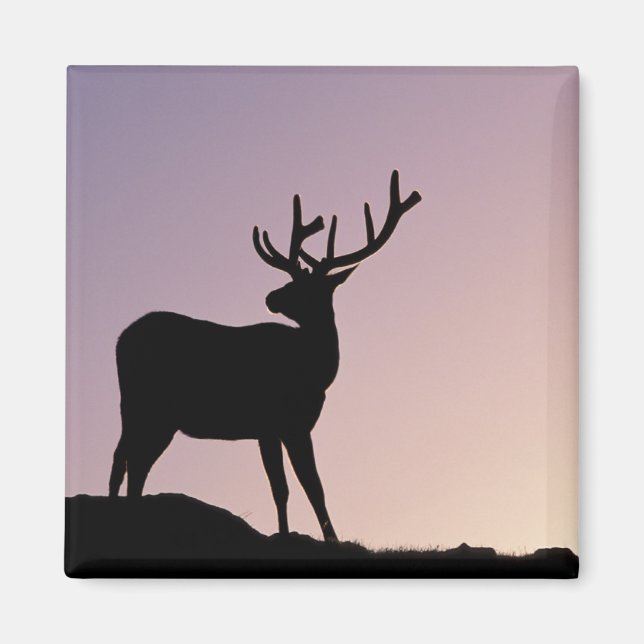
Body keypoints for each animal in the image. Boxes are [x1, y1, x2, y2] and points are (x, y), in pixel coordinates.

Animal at [108, 170, 422, 541]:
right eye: (293, 280)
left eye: (306, 285)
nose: (271, 296)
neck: (316, 370)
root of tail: (121, 339)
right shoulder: (285, 422)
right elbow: (305, 486)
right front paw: (323, 538)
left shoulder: (274, 429)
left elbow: (290, 487)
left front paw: (294, 533)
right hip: (153, 406)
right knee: (133, 459)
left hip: (141, 408)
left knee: (125, 457)